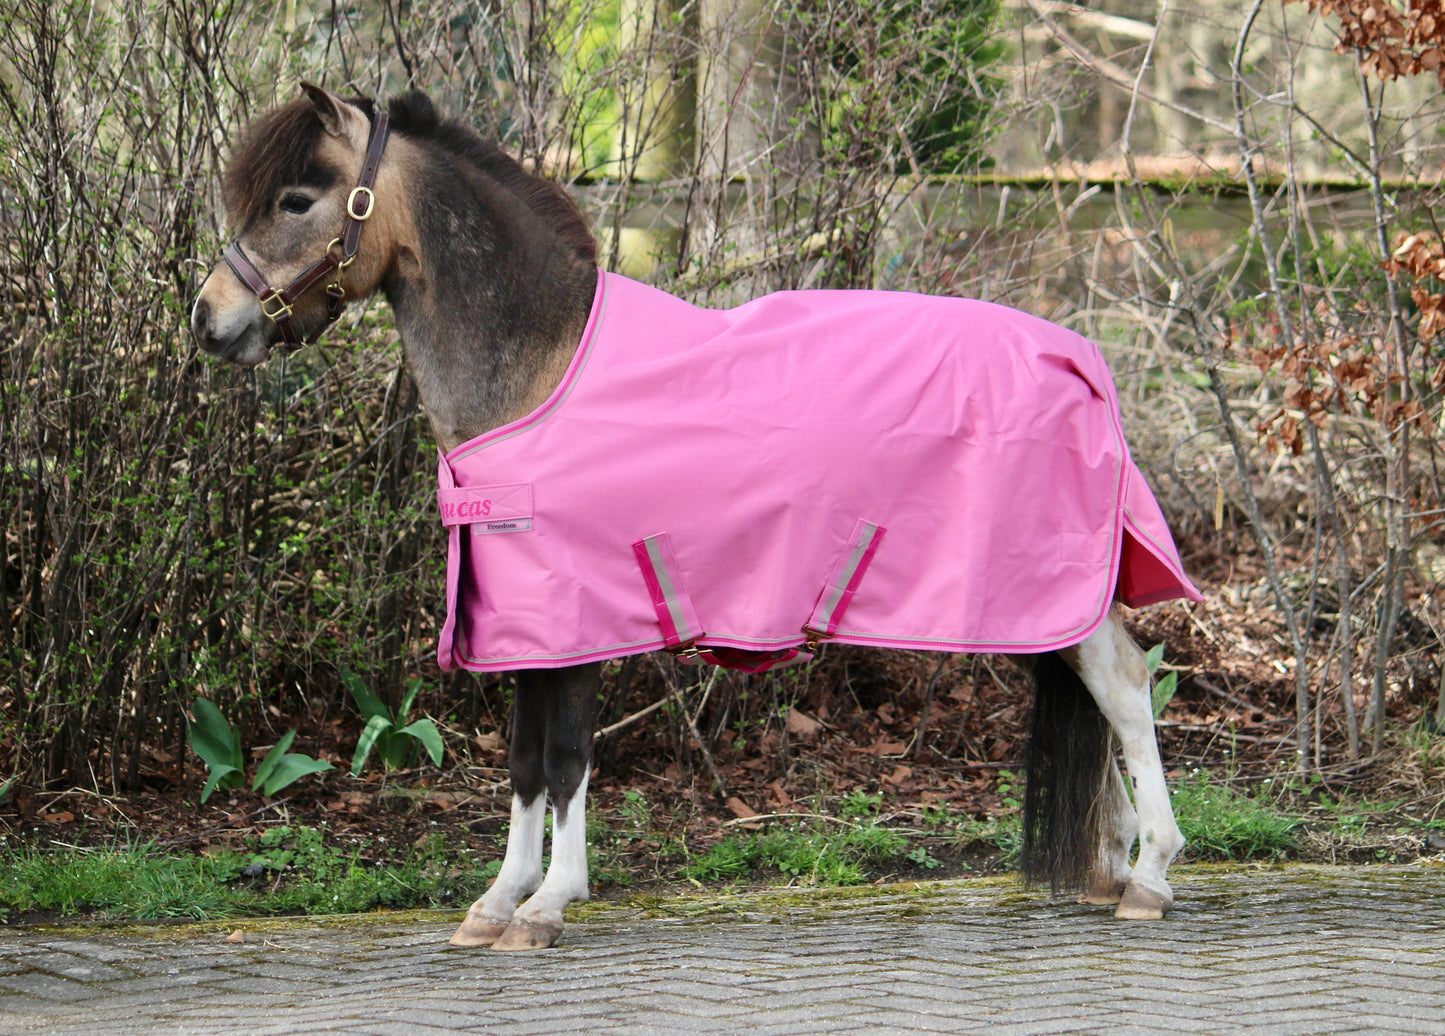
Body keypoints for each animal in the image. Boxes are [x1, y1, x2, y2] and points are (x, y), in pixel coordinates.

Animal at [191, 85, 1200, 951]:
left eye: (296, 198)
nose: (209, 320)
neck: (542, 367)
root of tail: (1075, 353)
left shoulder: (580, 621)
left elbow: (564, 757)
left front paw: (549, 904)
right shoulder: (525, 624)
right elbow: (523, 762)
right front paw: (497, 901)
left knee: (1122, 685)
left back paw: (1151, 876)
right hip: (1038, 601)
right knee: (1097, 692)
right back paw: (1112, 866)